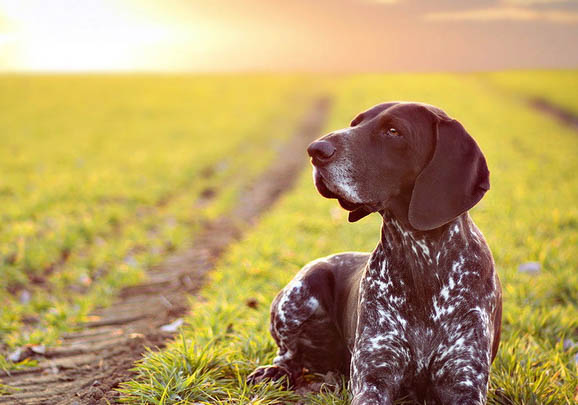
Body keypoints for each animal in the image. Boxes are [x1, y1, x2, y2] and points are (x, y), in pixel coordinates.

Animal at [248, 102, 500, 404]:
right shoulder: (373, 378)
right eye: (355, 123)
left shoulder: (465, 382)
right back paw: (274, 372)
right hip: (300, 290)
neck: (422, 258)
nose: (315, 150)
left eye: (393, 131)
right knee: (288, 356)